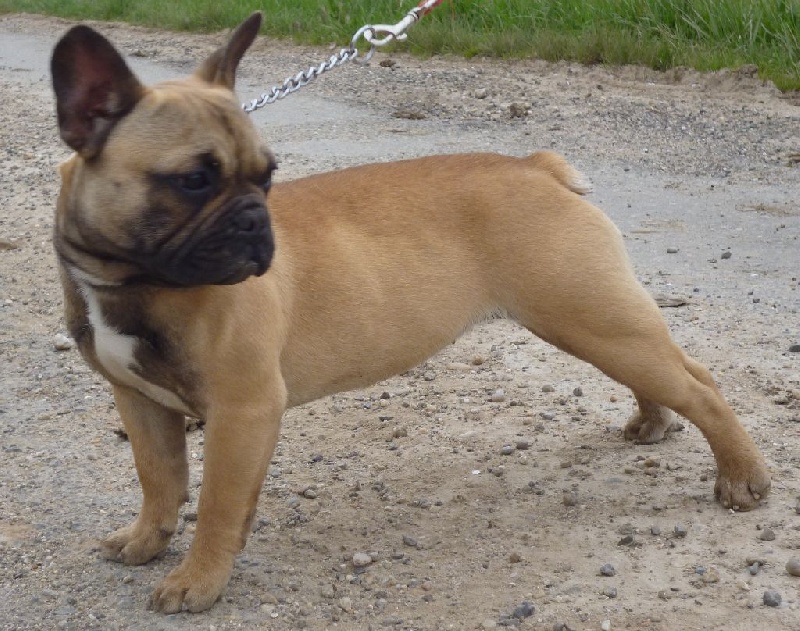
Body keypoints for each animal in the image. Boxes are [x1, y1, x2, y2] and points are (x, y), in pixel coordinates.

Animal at [50, 12, 770, 613]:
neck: (127, 280)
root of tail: (535, 168)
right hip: (594, 323)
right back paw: (653, 423)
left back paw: (742, 478)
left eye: (267, 175)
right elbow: (159, 477)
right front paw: (146, 541)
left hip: (594, 318)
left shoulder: (242, 409)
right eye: (193, 180)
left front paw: (196, 581)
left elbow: (219, 504)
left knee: (700, 384)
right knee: (659, 376)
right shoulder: (139, 401)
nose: (256, 219)